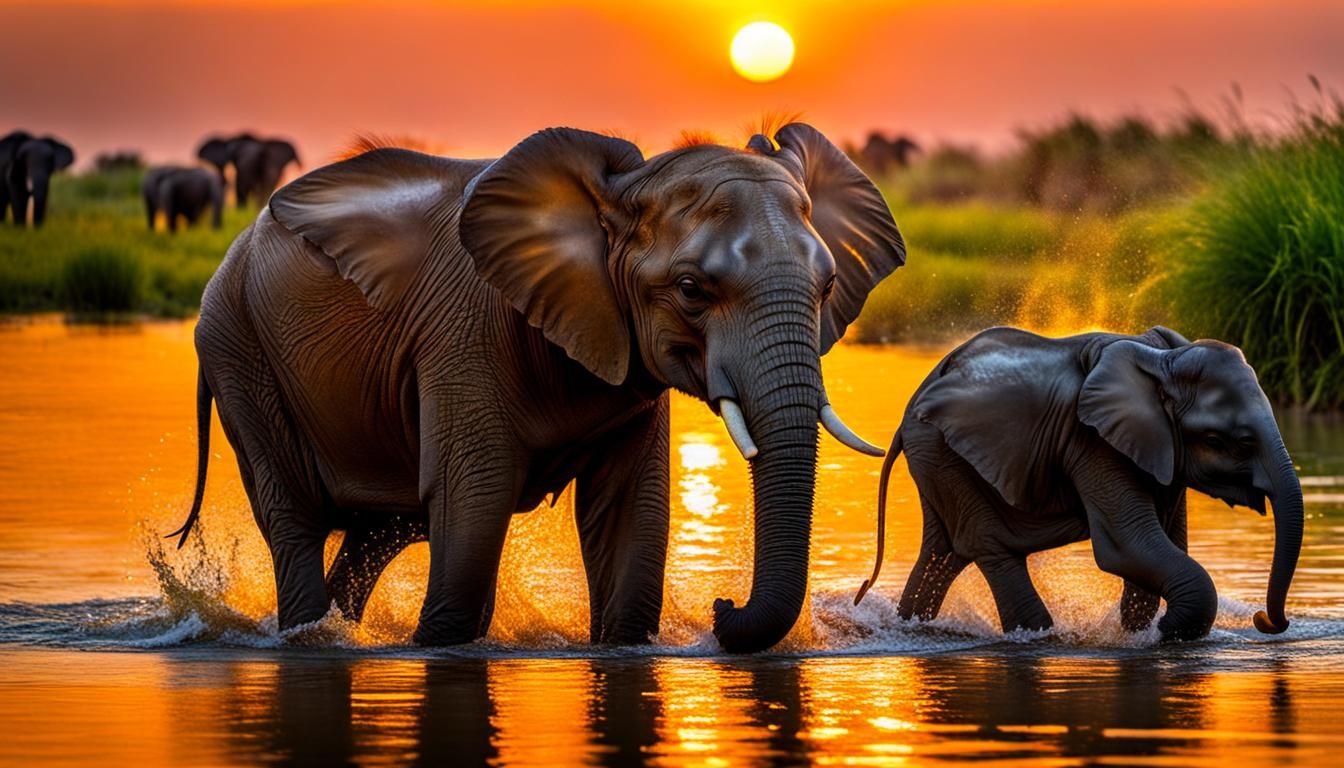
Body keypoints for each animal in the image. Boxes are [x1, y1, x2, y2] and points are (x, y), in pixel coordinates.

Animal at [168, 124, 905, 652]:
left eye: (828, 287)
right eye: (693, 289)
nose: (722, 609)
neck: (620, 192)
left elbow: (632, 520)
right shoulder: (462, 336)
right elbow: (473, 503)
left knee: (379, 534)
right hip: (237, 349)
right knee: (294, 517)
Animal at [854, 325, 1303, 642]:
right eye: (1225, 441)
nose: (1264, 619)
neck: (1164, 362)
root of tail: (906, 417)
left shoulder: (1161, 454)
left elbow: (1163, 547)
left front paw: (1141, 632)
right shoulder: (1092, 442)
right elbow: (1127, 548)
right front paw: (1158, 635)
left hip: (935, 457)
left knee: (943, 553)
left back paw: (911, 627)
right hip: (939, 451)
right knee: (990, 548)